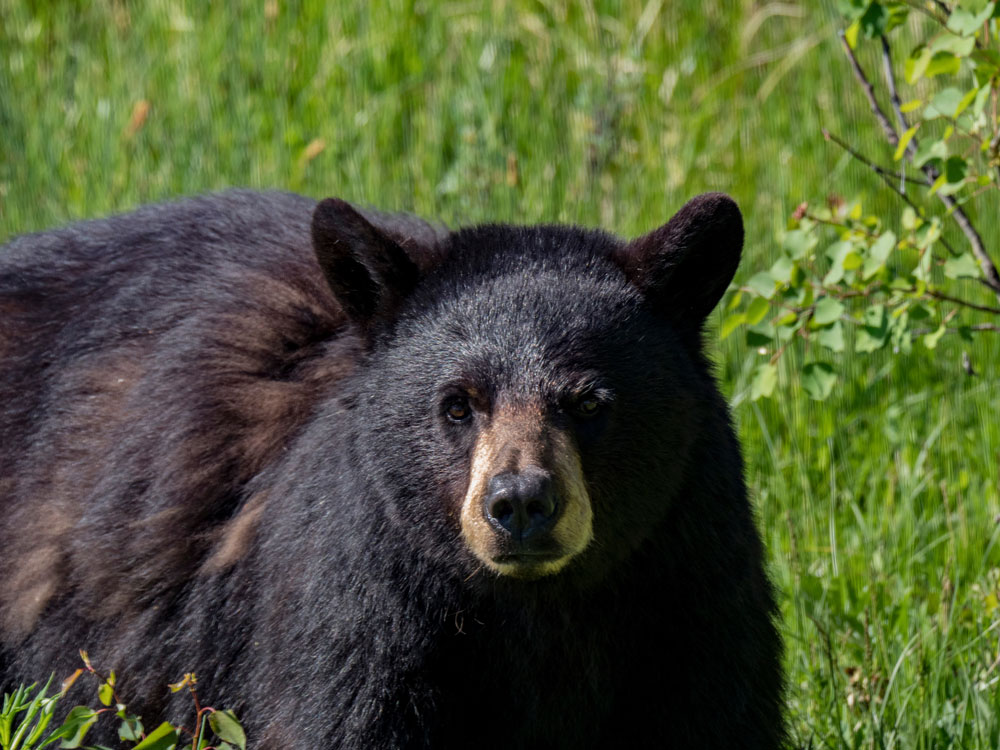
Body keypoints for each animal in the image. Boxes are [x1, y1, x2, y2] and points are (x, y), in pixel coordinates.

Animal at [0, 191, 780, 748]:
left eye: (589, 401)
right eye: (458, 404)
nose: (521, 502)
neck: (536, 610)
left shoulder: (688, 580)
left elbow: (714, 711)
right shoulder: (361, 592)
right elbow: (346, 714)